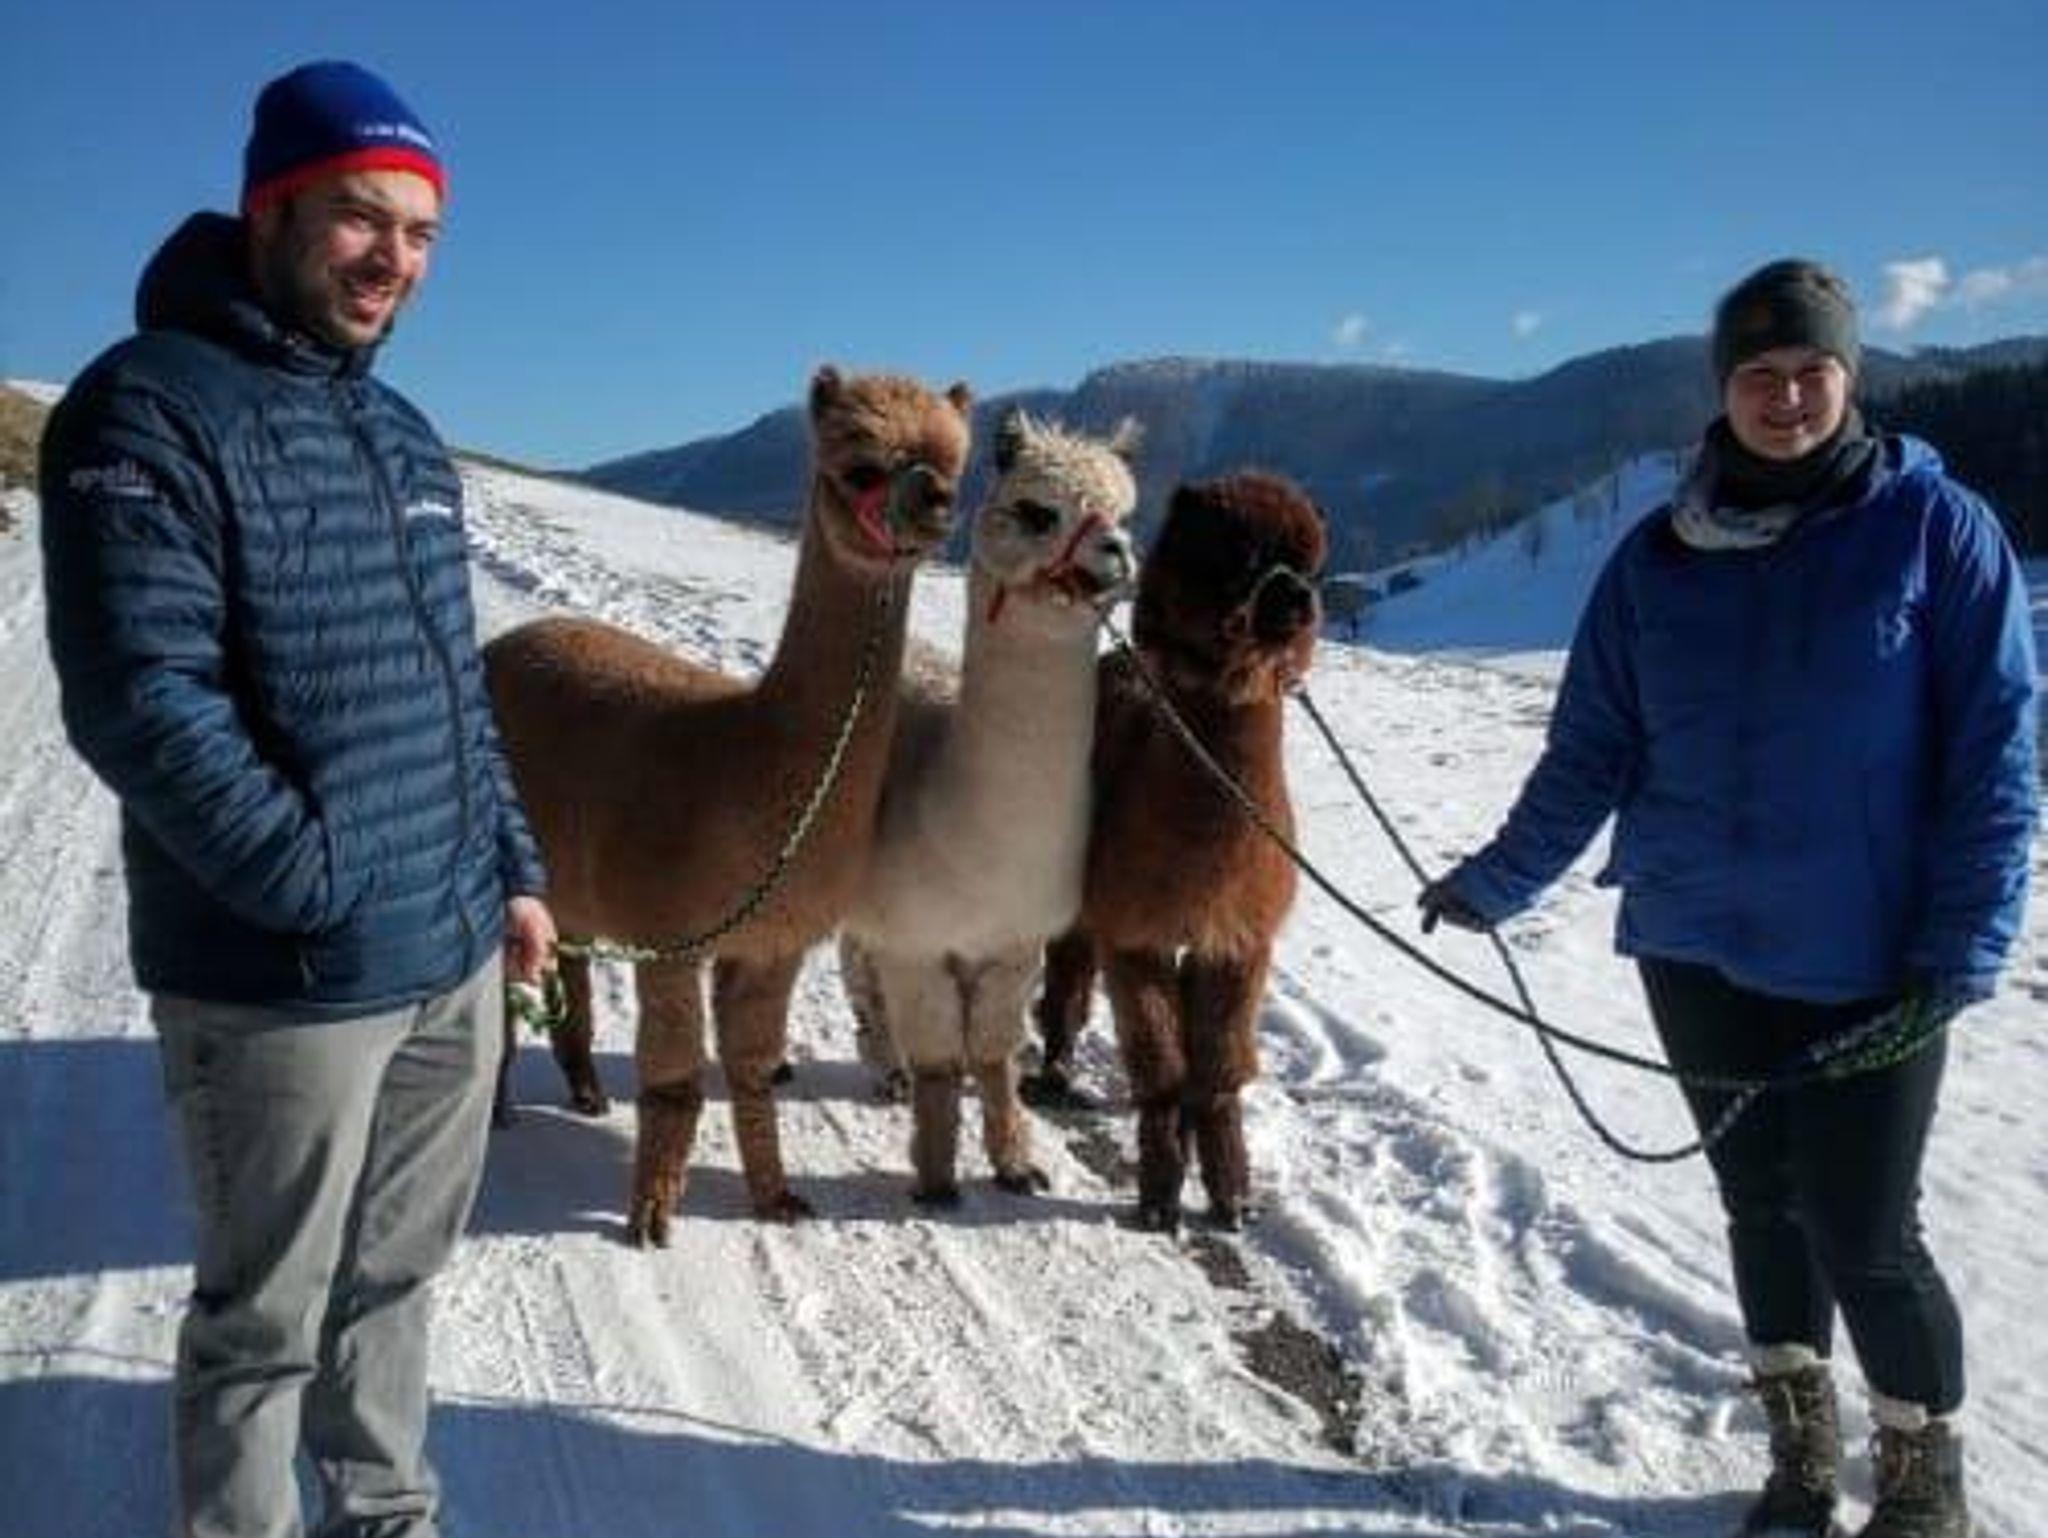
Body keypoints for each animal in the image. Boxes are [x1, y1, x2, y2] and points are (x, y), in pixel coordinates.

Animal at [484, 365, 972, 1244]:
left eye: (954, 461)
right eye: (861, 465)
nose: (938, 503)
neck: (740, 761)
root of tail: (501, 644)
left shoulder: (773, 944)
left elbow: (747, 1070)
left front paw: (775, 1197)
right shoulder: (674, 937)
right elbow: (677, 1078)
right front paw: (650, 1215)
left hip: (573, 871)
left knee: (569, 956)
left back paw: (584, 1087)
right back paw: (503, 1103)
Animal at [838, 409, 1140, 1204]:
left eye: (1126, 514)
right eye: (1037, 511)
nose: (1117, 554)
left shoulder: (1013, 944)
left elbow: (996, 1054)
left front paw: (1015, 1165)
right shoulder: (920, 941)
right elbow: (945, 1055)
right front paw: (937, 1176)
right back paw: (878, 1063)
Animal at [1031, 473, 1325, 1232]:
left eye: (1310, 562)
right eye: (1240, 556)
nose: (1298, 600)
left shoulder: (1239, 938)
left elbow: (1218, 1069)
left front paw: (1231, 1194)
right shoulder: (1135, 930)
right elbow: (1160, 1065)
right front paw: (1162, 1192)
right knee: (1067, 977)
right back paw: (1056, 1070)